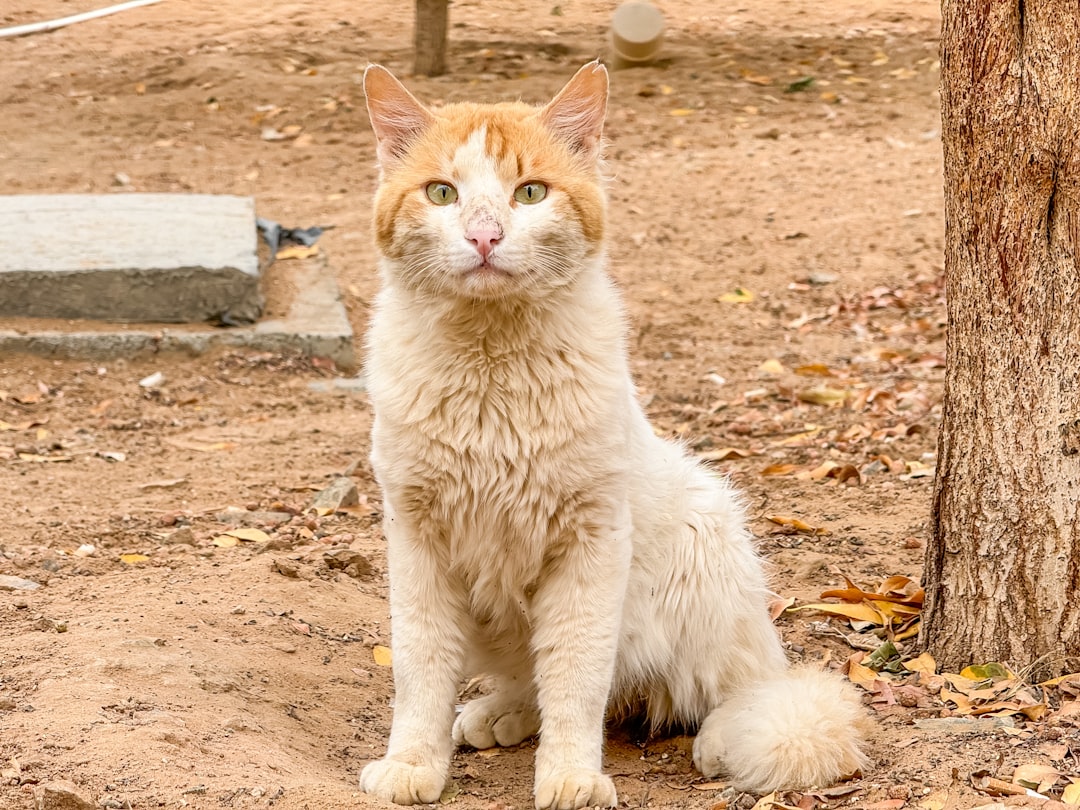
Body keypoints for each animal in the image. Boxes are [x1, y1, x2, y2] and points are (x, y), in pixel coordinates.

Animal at [358, 63, 864, 810]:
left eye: (530, 193)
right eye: (442, 193)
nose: (484, 237)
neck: (489, 363)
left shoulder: (591, 542)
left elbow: (576, 677)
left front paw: (569, 776)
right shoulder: (417, 538)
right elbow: (421, 671)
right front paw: (413, 763)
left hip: (705, 529)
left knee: (738, 690)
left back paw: (721, 738)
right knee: (533, 677)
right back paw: (500, 714)